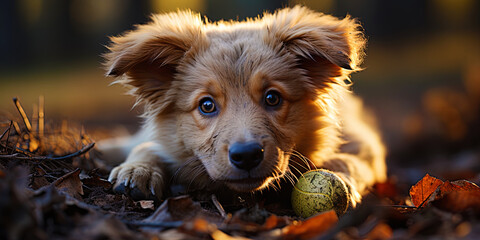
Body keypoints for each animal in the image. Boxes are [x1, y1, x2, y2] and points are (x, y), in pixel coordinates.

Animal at [101, 5, 386, 208]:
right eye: (206, 105)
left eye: (272, 98)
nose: (247, 155)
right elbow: (151, 146)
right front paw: (138, 170)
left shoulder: (364, 143)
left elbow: (348, 161)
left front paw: (341, 181)